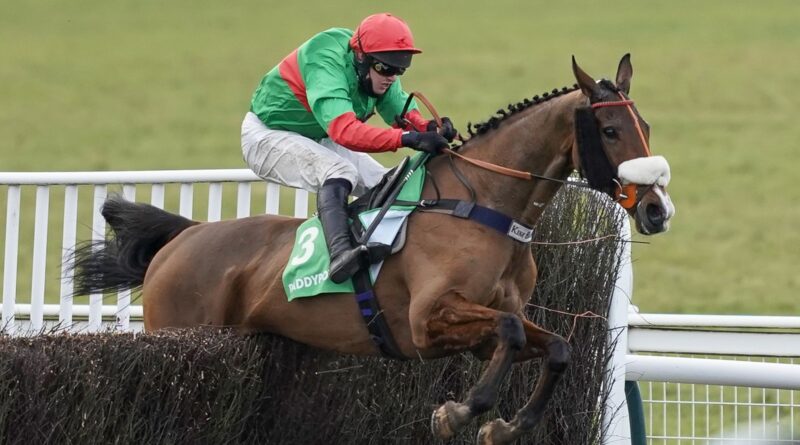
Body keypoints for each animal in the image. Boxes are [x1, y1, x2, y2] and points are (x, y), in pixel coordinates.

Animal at [72, 55, 676, 444]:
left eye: (645, 124)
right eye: (608, 129)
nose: (656, 210)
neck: (481, 207)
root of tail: (183, 237)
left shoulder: (489, 324)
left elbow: (557, 349)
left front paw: (504, 426)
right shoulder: (427, 321)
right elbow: (504, 336)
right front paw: (457, 414)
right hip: (179, 334)